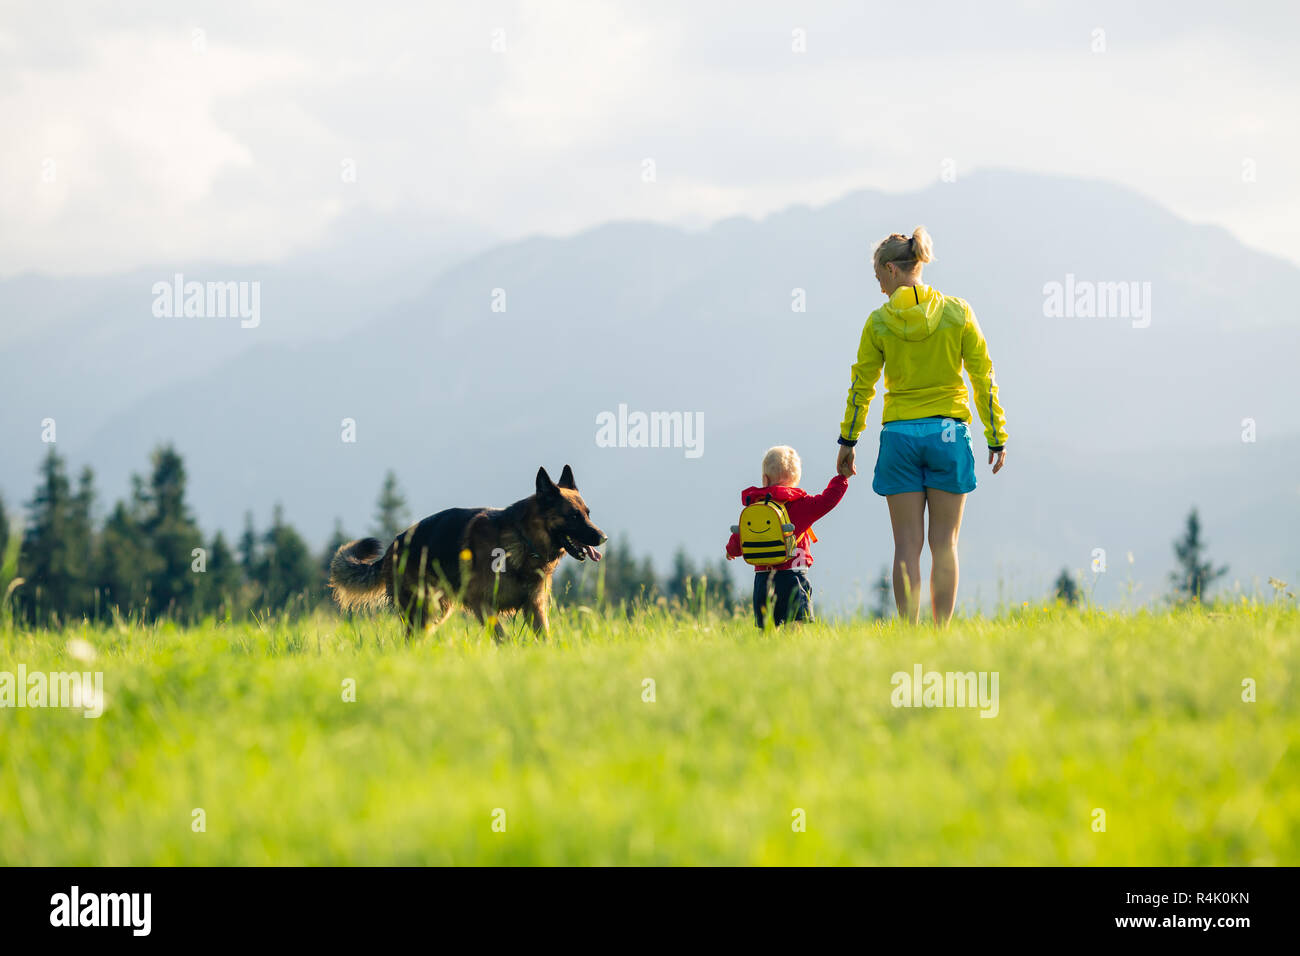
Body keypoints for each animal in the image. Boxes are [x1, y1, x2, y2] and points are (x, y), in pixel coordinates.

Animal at [330, 468, 603, 639]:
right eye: (573, 516)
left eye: (588, 513)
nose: (603, 537)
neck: (523, 539)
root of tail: (393, 545)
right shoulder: (482, 605)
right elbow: (502, 638)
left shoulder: (535, 608)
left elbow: (544, 640)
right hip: (423, 611)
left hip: (437, 611)